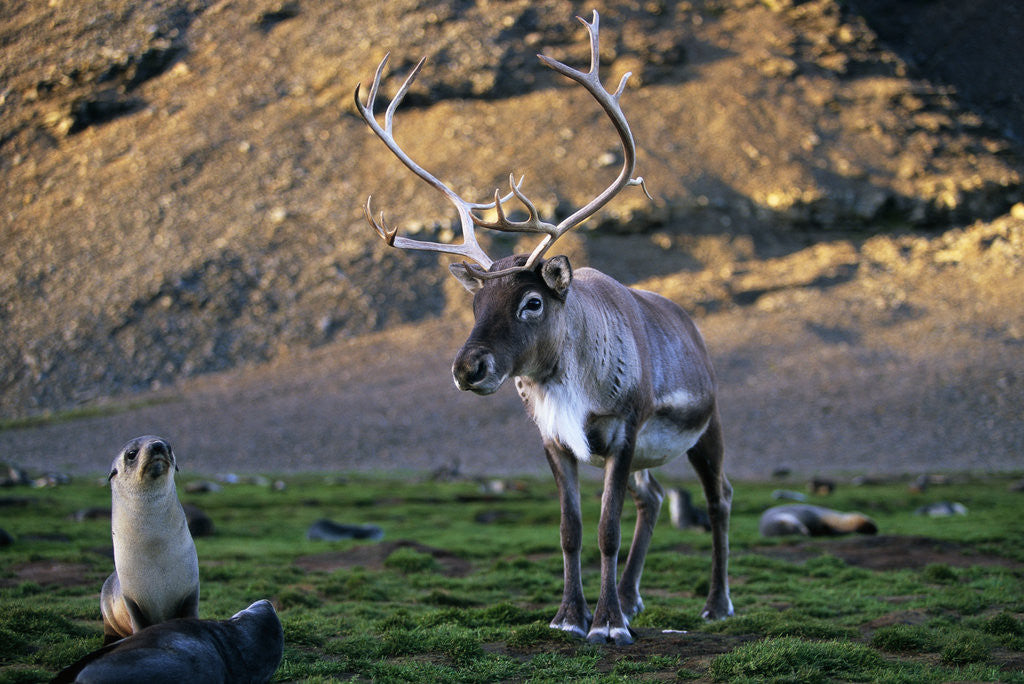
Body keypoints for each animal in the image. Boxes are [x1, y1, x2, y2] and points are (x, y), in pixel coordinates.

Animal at [354, 10, 733, 645]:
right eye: (476, 302)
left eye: (532, 301)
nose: (468, 367)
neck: (569, 381)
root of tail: (694, 327)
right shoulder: (555, 440)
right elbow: (570, 531)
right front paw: (569, 617)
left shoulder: (623, 431)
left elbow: (605, 529)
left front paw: (606, 626)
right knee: (654, 498)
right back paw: (632, 597)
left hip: (706, 424)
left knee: (719, 496)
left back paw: (714, 604)